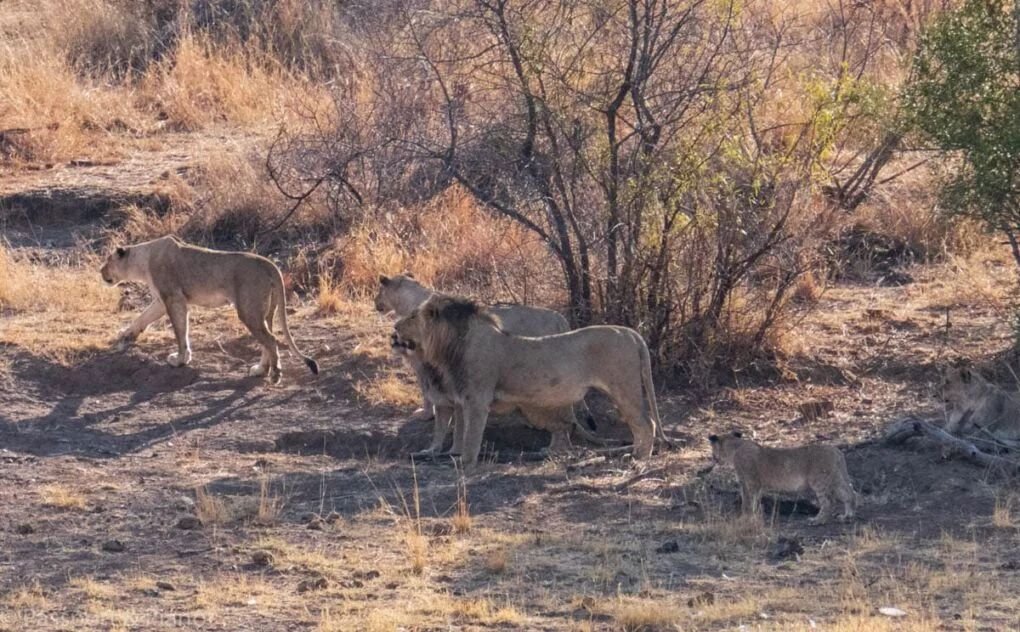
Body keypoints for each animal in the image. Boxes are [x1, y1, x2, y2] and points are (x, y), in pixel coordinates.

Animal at [98, 234, 318, 383]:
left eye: (108, 261)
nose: (100, 271)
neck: (143, 261)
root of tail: (269, 263)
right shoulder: (162, 301)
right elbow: (143, 317)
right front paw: (126, 334)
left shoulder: (174, 298)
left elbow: (180, 332)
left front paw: (180, 360)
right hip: (264, 311)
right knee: (267, 339)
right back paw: (260, 370)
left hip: (248, 309)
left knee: (271, 340)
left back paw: (274, 375)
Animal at [375, 273, 595, 456]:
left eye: (379, 292)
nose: (375, 303)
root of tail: (560, 318)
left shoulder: (423, 363)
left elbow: (428, 393)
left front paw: (426, 414)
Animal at [389, 295, 660, 464]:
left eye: (412, 316)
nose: (394, 327)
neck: (451, 347)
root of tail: (630, 332)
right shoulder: (463, 399)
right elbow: (459, 432)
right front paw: (448, 455)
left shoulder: (477, 400)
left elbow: (470, 436)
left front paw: (464, 462)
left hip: (624, 388)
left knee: (646, 423)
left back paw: (640, 459)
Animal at [709, 432, 860, 525]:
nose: (713, 459)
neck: (735, 448)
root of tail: (836, 451)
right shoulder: (756, 485)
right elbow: (755, 500)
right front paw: (754, 516)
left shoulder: (750, 482)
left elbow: (747, 500)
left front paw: (745, 518)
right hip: (836, 478)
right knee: (850, 494)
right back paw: (847, 516)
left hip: (820, 481)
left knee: (829, 502)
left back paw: (817, 520)